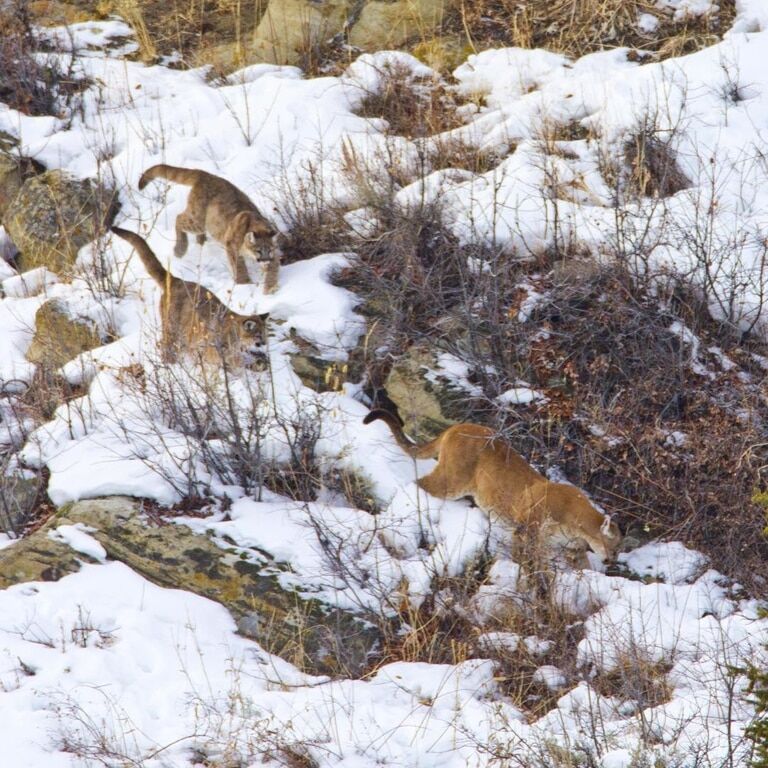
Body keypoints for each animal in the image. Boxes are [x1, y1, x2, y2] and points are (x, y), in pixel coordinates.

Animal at [112, 226, 268, 364]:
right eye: (258, 336)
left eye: (265, 334)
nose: (265, 343)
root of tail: (176, 279)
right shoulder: (212, 352)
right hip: (172, 328)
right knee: (166, 345)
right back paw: (170, 364)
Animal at [138, 164, 280, 292]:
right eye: (258, 251)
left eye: (270, 250)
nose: (265, 261)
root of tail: (207, 175)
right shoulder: (231, 246)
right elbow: (239, 266)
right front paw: (244, 283)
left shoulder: (274, 253)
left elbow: (273, 269)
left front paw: (270, 287)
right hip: (197, 220)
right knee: (179, 218)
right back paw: (180, 249)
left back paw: (200, 241)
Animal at [364, 408, 620, 560]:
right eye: (615, 547)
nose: (613, 561)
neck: (576, 522)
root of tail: (458, 426)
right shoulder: (527, 530)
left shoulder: (570, 549)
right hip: (453, 481)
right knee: (418, 483)